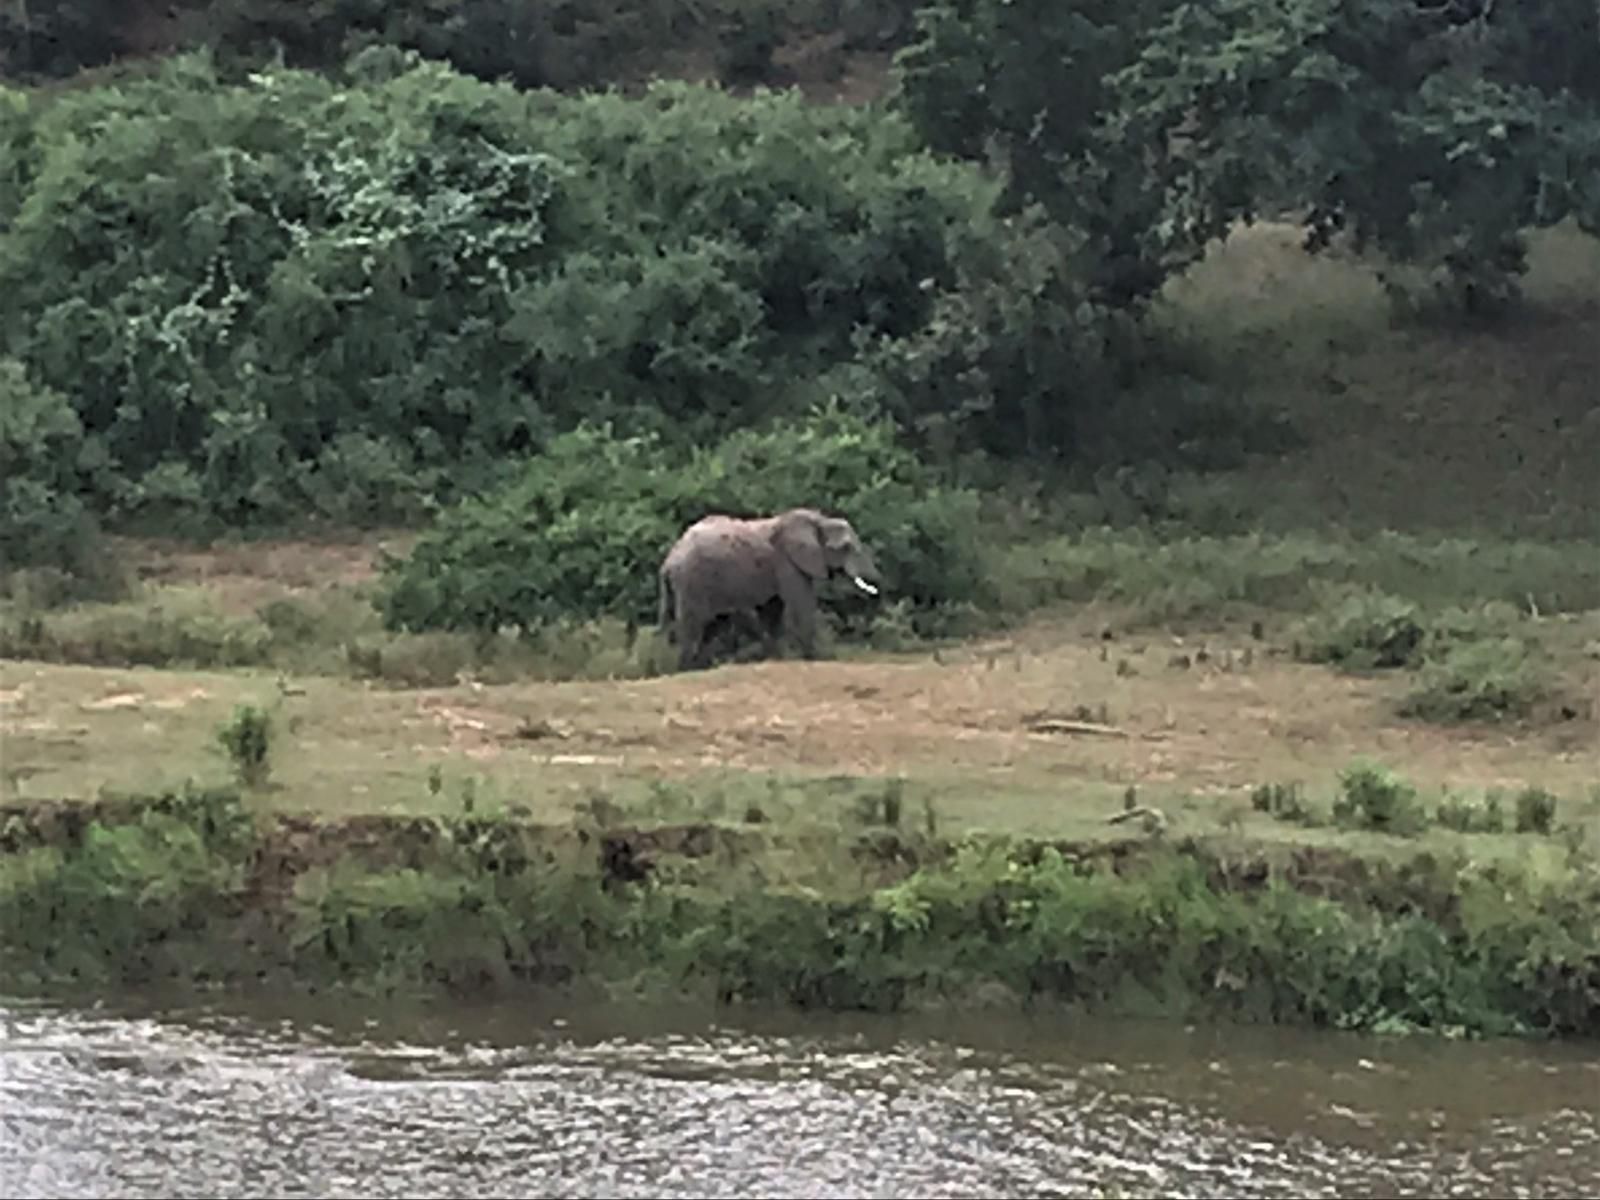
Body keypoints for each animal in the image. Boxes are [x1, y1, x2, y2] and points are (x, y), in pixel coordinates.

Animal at [662, 508, 889, 672]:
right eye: (845, 548)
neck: (820, 520)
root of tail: (669, 559)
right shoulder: (787, 562)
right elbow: (801, 604)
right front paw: (819, 658)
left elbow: (773, 609)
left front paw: (775, 658)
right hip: (692, 581)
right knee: (694, 625)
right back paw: (686, 670)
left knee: (712, 625)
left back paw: (701, 667)